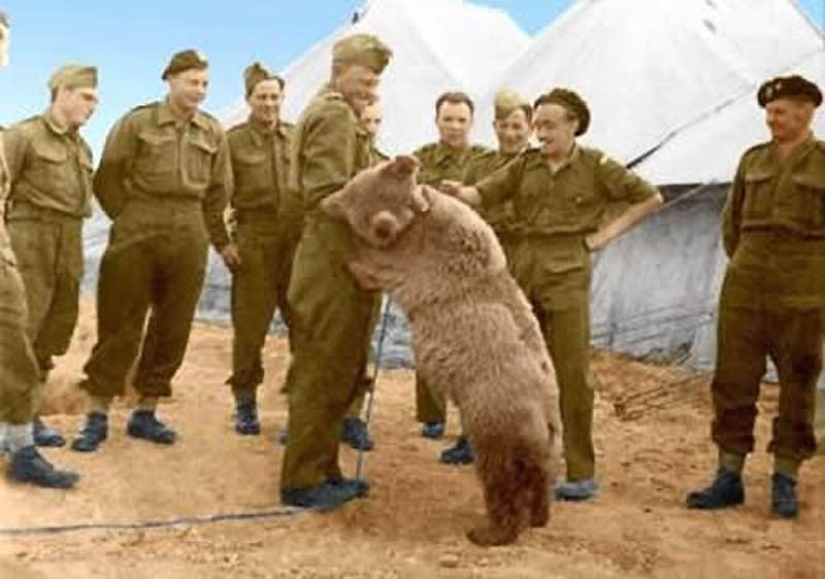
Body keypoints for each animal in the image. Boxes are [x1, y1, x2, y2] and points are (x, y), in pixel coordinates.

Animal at [320, 155, 561, 547]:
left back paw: (490, 530)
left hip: (497, 411)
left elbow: (373, 262)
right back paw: (540, 515)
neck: (417, 219)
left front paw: (342, 233)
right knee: (540, 474)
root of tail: (547, 416)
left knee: (500, 472)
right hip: (543, 435)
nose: (384, 227)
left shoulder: (419, 256)